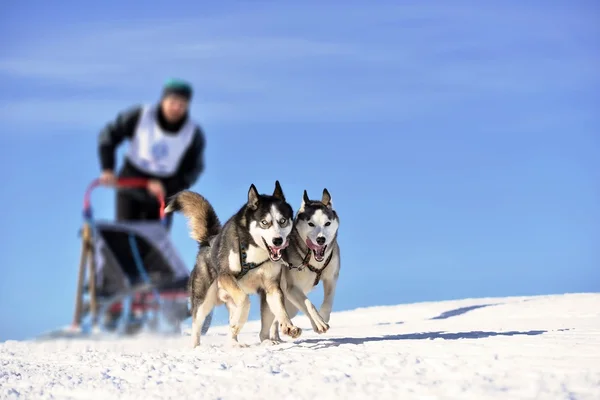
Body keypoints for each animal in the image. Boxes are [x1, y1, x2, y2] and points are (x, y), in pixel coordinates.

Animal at [164, 181, 302, 346]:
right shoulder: (226, 276)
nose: (278, 241)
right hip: (204, 300)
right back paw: (197, 346)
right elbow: (245, 301)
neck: (254, 254)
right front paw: (238, 322)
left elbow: (280, 309)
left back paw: (252, 342)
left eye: (283, 221)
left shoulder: (271, 287)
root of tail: (209, 240)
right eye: (264, 222)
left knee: (260, 327)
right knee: (197, 325)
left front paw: (288, 326)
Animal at [258, 189, 340, 342]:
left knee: (279, 318)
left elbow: (329, 300)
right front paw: (319, 323)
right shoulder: (292, 288)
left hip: (291, 307)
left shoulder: (331, 278)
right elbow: (308, 304)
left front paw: (323, 316)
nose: (321, 239)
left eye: (327, 223)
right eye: (311, 224)